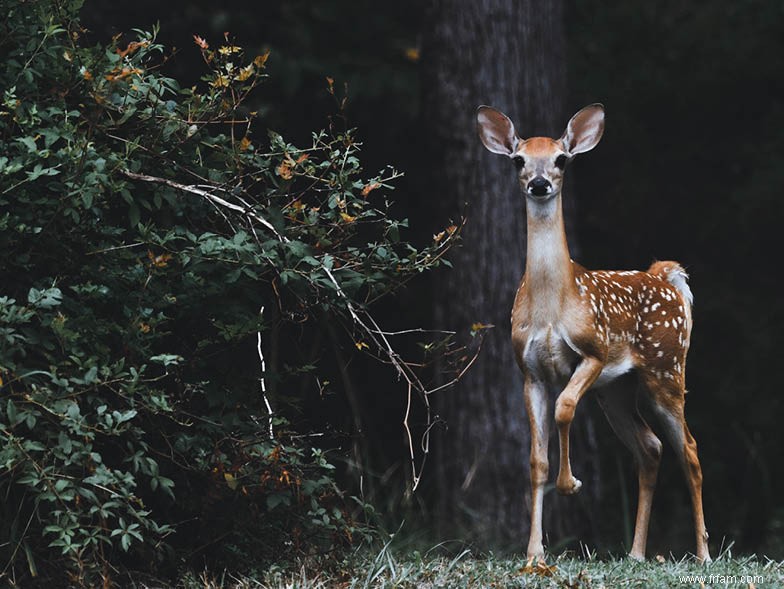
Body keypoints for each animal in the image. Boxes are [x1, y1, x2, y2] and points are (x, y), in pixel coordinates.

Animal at [478, 103, 712, 564]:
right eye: (518, 160)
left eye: (561, 159)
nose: (538, 184)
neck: (553, 305)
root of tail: (666, 277)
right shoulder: (529, 371)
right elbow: (535, 460)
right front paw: (534, 553)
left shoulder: (594, 351)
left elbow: (565, 407)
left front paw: (571, 483)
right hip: (617, 389)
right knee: (650, 447)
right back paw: (636, 554)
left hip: (666, 369)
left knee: (690, 450)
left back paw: (704, 554)